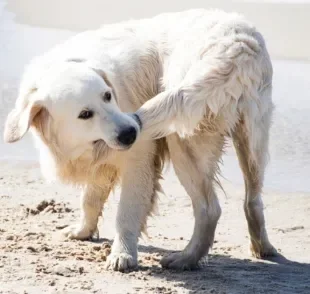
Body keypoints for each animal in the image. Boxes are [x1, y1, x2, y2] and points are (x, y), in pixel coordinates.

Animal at [3, 9, 276, 272]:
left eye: (108, 96)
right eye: (85, 114)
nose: (130, 133)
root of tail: (238, 45)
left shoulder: (139, 160)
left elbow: (126, 212)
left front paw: (122, 255)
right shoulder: (102, 163)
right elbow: (89, 199)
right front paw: (83, 231)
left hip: (183, 139)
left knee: (210, 209)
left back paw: (185, 259)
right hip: (252, 141)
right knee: (253, 200)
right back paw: (262, 248)